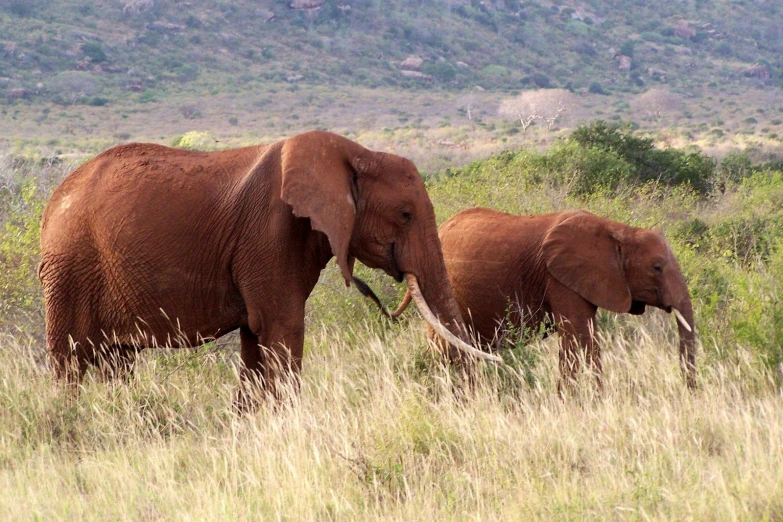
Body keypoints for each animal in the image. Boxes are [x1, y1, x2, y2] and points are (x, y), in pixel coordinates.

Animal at [39, 130, 500, 402]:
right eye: (405, 215)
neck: (354, 153)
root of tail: (54, 198)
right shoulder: (269, 234)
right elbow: (283, 328)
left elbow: (255, 339)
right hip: (69, 267)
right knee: (70, 360)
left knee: (116, 360)